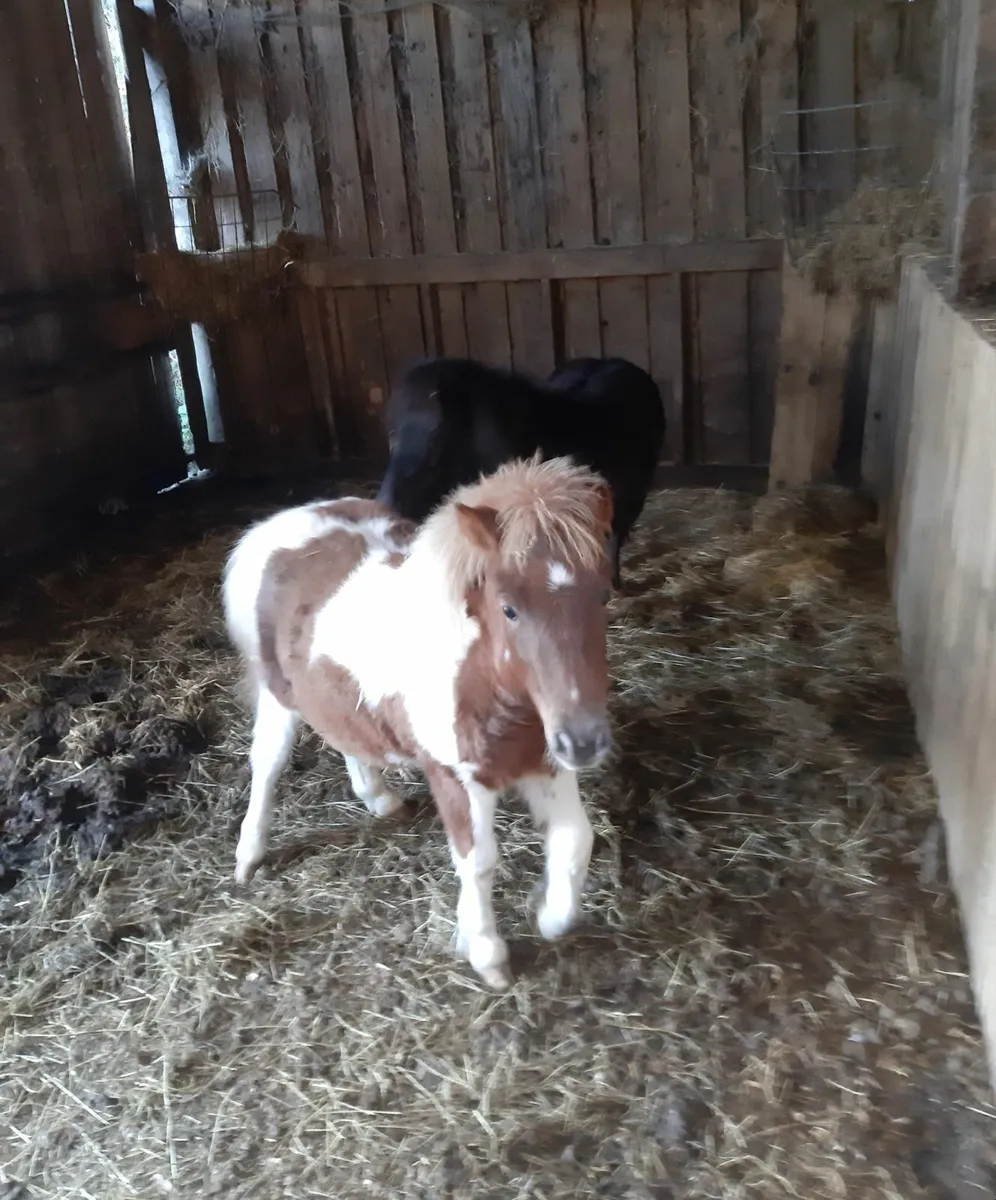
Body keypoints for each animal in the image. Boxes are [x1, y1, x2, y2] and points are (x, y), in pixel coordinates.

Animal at [222, 455, 616, 990]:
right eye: (509, 608)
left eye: (603, 596)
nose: (585, 742)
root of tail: (272, 527)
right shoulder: (455, 778)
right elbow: (478, 862)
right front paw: (486, 954)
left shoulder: (546, 764)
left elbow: (576, 841)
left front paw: (550, 916)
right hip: (278, 697)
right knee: (268, 763)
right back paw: (249, 855)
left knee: (346, 732)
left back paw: (379, 798)